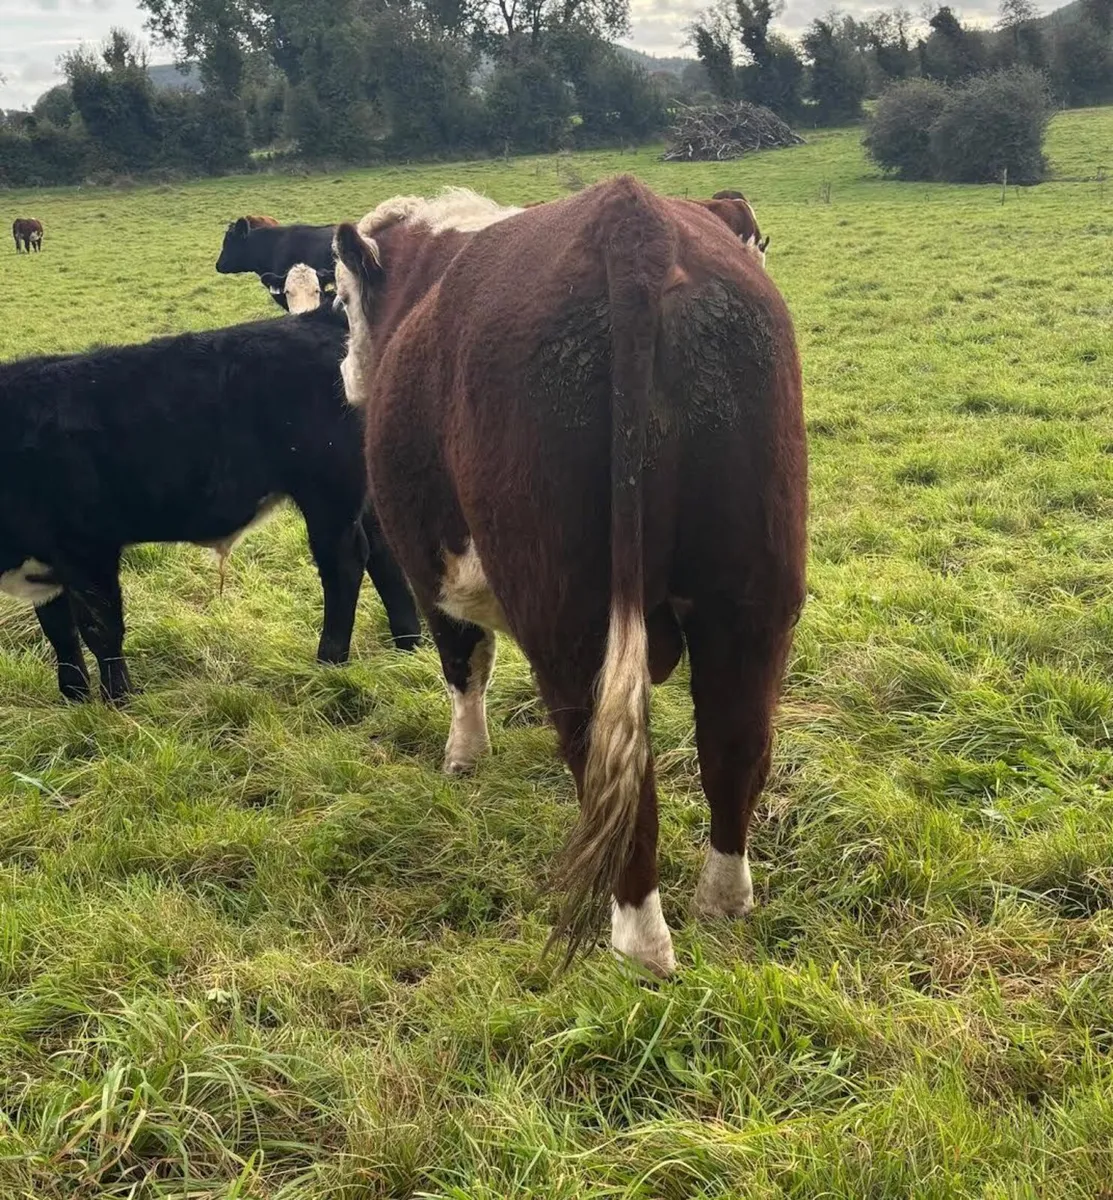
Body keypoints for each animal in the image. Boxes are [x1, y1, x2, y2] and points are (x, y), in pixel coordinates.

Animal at [0, 304, 422, 704]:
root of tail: (318, 319)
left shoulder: (89, 548)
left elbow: (101, 629)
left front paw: (118, 701)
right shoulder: (45, 563)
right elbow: (60, 633)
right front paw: (72, 699)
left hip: (327, 494)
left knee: (344, 564)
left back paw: (329, 662)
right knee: (382, 552)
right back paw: (407, 646)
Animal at [332, 178, 806, 976]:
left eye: (339, 300)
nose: (342, 374)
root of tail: (632, 222)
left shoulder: (428, 568)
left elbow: (463, 662)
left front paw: (464, 757)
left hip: (570, 618)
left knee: (612, 772)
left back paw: (639, 943)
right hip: (752, 597)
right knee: (734, 744)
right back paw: (723, 899)